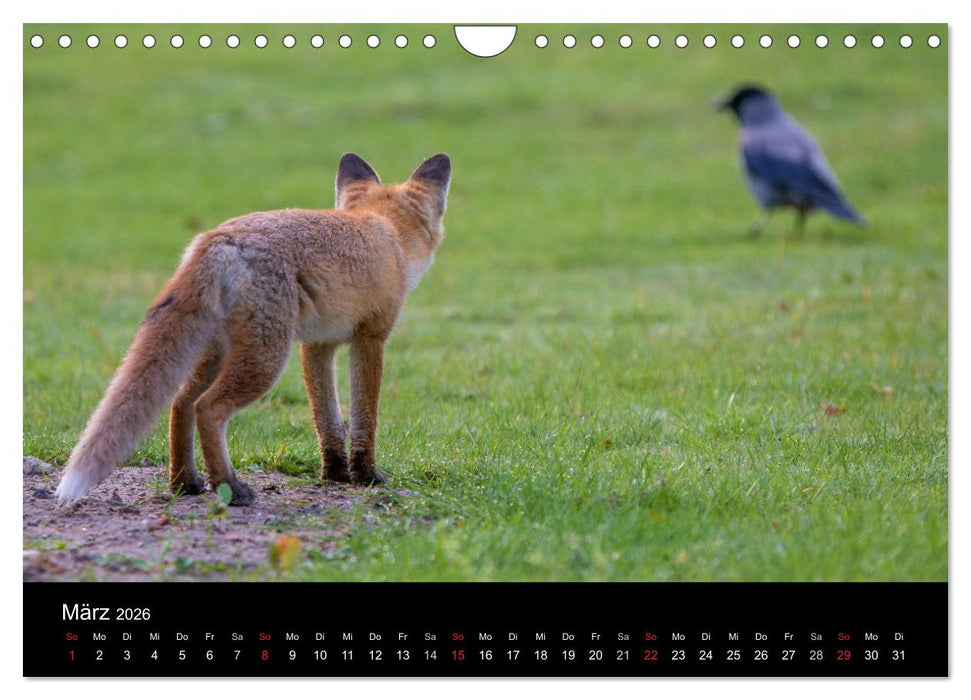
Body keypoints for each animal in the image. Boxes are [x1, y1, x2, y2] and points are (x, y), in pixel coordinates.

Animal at [54, 152, 451, 506]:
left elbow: (327, 420)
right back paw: (229, 488)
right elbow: (365, 417)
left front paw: (335, 474)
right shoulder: (370, 339)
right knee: (207, 408)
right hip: (265, 359)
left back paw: (186, 483)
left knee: (181, 402)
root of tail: (221, 235)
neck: (386, 231)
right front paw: (367, 476)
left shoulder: (317, 345)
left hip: (219, 350)